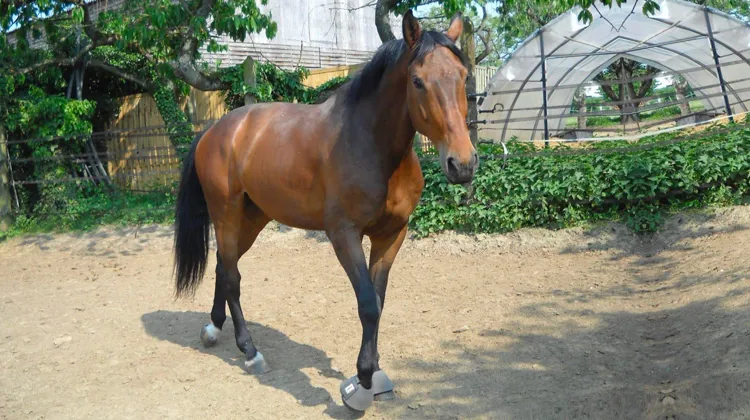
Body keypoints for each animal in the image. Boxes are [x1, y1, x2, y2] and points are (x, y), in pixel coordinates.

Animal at [172, 10, 477, 412]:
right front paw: (363, 380)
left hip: (252, 219)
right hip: (225, 214)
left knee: (225, 265)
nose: (463, 164)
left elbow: (378, 301)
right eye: (417, 81)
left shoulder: (391, 235)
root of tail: (214, 131)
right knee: (232, 276)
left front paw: (375, 370)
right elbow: (367, 304)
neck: (370, 145)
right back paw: (249, 350)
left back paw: (214, 327)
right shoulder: (344, 235)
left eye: (463, 76)